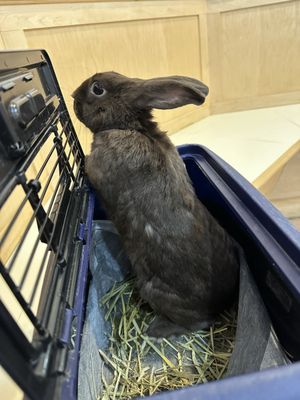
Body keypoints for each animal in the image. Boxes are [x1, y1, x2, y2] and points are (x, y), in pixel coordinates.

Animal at [72, 72, 239, 338]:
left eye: (97, 89)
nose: (72, 96)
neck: (130, 127)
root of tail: (220, 306)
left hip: (153, 290)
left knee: (195, 324)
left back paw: (155, 330)